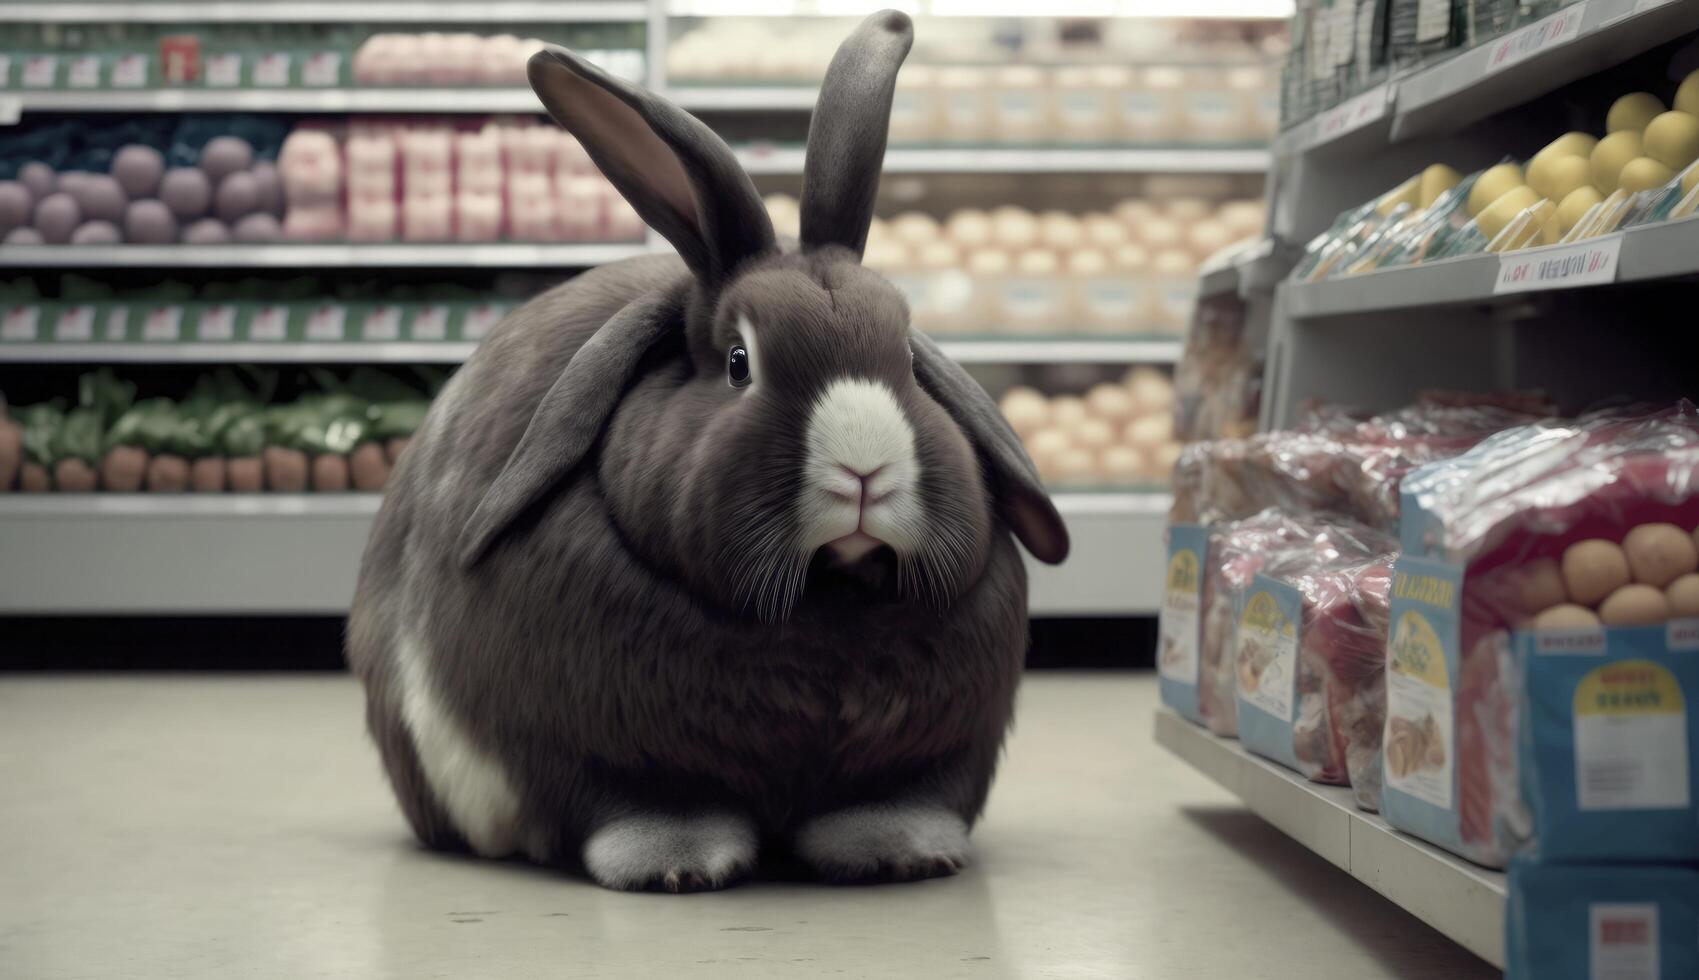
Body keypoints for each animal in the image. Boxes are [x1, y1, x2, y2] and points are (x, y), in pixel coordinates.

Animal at [344, 9, 1066, 896]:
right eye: (738, 362)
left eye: (904, 353)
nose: (865, 471)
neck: (823, 600)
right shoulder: (597, 753)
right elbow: (638, 802)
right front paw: (675, 865)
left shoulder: (931, 749)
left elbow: (891, 798)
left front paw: (901, 851)